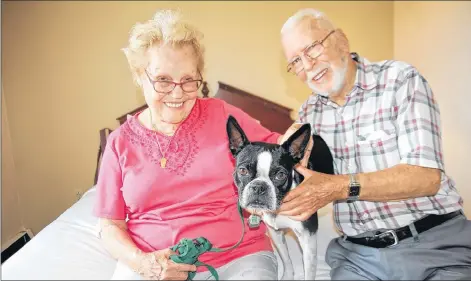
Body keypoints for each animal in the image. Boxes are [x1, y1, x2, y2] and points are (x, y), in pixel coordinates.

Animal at [226, 115, 334, 278]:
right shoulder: (275, 232)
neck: (280, 206)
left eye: (281, 175)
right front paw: (288, 276)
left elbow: (309, 271)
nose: (259, 187)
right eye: (242, 170)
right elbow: (286, 259)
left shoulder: (308, 239)